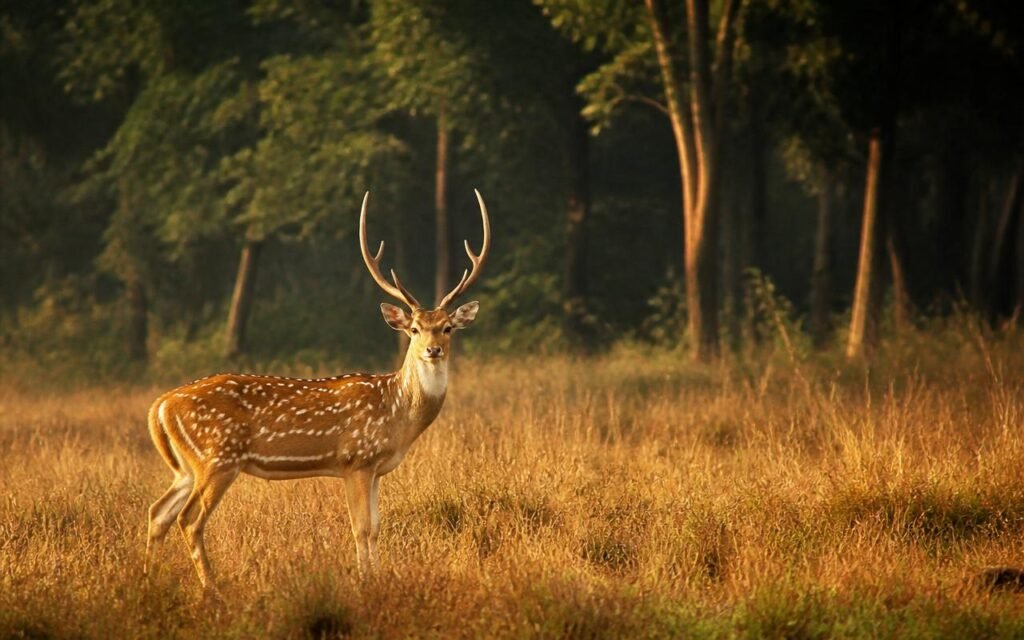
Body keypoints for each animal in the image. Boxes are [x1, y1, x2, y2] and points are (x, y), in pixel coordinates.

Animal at [144, 190, 490, 594]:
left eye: (448, 327)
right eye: (415, 328)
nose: (432, 350)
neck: (397, 413)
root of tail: (160, 406)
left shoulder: (376, 469)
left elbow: (376, 527)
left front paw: (378, 577)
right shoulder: (356, 459)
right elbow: (362, 528)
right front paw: (365, 582)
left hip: (186, 466)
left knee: (158, 511)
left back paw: (149, 579)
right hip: (217, 457)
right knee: (189, 518)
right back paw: (211, 588)